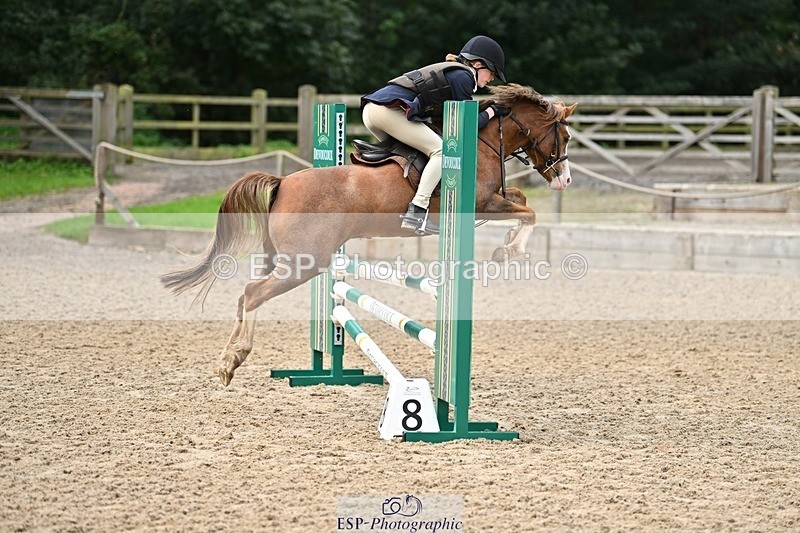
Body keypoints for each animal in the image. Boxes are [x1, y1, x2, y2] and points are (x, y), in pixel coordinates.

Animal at [161, 83, 577, 386]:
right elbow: (529, 212)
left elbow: (522, 201)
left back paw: (224, 364)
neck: (483, 142)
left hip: (286, 260)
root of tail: (283, 182)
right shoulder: (482, 204)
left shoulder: (493, 201)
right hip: (303, 264)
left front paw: (506, 248)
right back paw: (237, 357)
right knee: (251, 294)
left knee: (243, 298)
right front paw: (508, 252)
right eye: (566, 137)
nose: (564, 179)